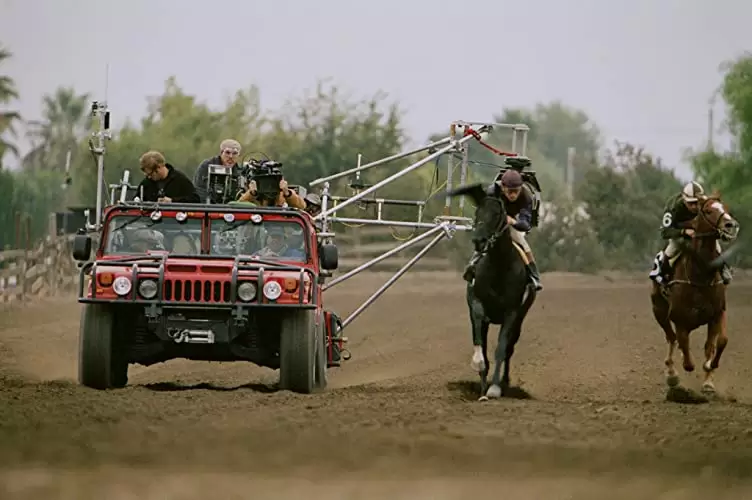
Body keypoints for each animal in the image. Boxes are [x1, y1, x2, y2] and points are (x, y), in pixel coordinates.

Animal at [450, 182, 536, 400]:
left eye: (497, 213)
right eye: (477, 212)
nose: (479, 240)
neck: (499, 267)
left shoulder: (512, 312)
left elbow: (501, 348)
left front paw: (495, 388)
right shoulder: (477, 306)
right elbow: (480, 343)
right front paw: (481, 385)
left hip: (521, 319)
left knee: (510, 348)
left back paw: (504, 382)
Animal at [652, 193, 740, 392]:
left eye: (725, 208)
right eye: (708, 210)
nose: (731, 225)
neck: (701, 275)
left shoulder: (718, 313)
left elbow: (718, 343)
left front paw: (709, 377)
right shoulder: (679, 318)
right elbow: (686, 356)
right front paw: (680, 372)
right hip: (659, 311)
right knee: (671, 338)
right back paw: (672, 374)